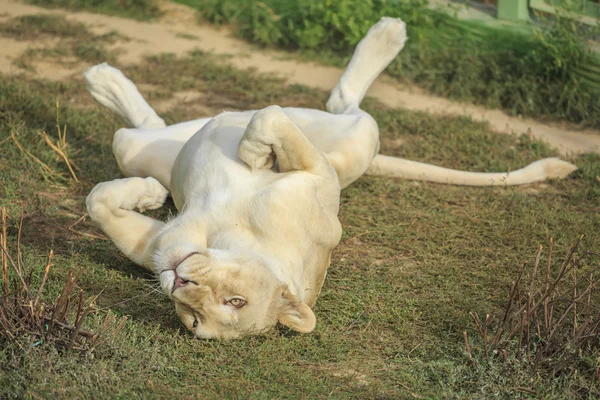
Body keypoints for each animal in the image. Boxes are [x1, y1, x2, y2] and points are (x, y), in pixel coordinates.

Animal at [84, 17, 576, 340]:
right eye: (234, 301)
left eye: (198, 319)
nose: (181, 284)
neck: (225, 234)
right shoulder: (314, 176)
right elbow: (268, 117)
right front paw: (249, 157)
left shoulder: (156, 246)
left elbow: (97, 201)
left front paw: (148, 197)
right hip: (347, 141)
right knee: (331, 106)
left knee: (132, 135)